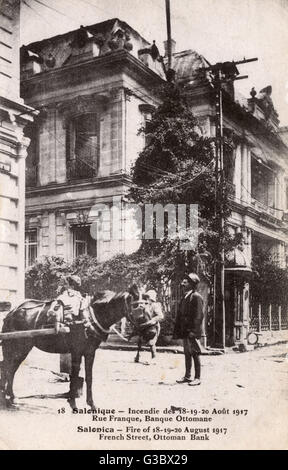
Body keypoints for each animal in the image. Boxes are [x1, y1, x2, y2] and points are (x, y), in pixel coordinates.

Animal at [0, 284, 145, 410]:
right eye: (136, 306)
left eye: (146, 304)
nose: (148, 330)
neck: (89, 316)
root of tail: (11, 313)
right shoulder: (76, 351)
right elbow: (74, 377)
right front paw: (73, 403)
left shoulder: (90, 352)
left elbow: (89, 377)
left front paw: (91, 404)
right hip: (19, 347)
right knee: (8, 368)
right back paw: (7, 399)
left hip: (19, 348)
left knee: (10, 369)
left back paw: (10, 397)